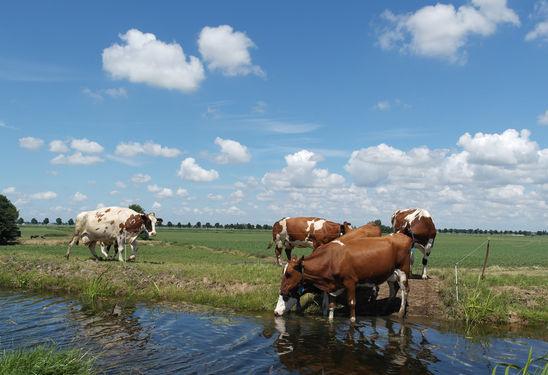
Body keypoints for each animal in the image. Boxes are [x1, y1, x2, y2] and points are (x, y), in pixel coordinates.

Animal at [274, 232, 412, 324]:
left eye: (288, 274)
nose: (275, 313)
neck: (332, 259)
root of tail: (402, 235)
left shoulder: (350, 282)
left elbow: (351, 304)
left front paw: (352, 320)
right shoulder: (332, 286)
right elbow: (331, 306)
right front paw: (330, 321)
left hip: (403, 271)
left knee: (405, 290)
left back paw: (401, 313)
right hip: (390, 274)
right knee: (393, 289)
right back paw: (384, 310)